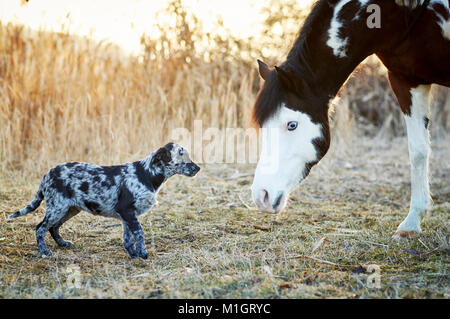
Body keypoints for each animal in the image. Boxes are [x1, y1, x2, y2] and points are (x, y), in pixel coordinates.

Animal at [7, 142, 199, 260]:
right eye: (182, 155)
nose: (198, 168)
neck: (146, 174)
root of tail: (47, 174)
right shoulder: (127, 211)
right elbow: (139, 233)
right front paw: (143, 254)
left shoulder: (127, 216)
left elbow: (128, 238)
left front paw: (133, 254)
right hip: (57, 207)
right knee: (40, 228)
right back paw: (44, 251)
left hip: (70, 209)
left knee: (53, 227)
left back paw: (63, 244)